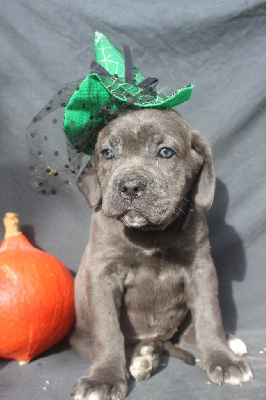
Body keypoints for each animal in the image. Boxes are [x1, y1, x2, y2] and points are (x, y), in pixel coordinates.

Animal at [70, 108, 251, 398]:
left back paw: (226, 342)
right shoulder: (103, 274)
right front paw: (103, 379)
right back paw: (143, 356)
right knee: (122, 343)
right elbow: (108, 330)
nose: (130, 186)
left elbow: (209, 315)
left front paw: (223, 360)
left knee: (188, 331)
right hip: (81, 336)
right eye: (107, 153)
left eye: (166, 152)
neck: (150, 234)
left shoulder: (201, 268)